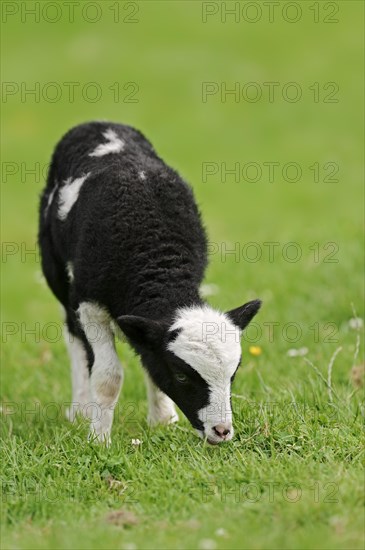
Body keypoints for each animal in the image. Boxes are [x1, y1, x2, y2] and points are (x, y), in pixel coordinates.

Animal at [38, 123, 260, 446]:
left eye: (233, 375)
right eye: (182, 376)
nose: (221, 431)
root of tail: (99, 123)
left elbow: (149, 356)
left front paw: (163, 421)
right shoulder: (88, 302)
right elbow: (108, 377)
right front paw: (99, 439)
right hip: (57, 275)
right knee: (74, 337)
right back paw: (79, 411)